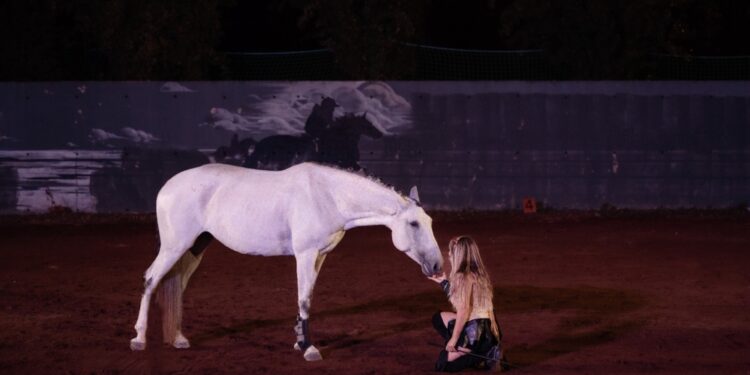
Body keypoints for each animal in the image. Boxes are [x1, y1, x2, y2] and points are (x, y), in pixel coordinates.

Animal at [131, 162, 446, 362]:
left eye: (430, 222)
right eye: (414, 224)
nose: (437, 267)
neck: (328, 196)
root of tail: (168, 186)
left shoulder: (320, 256)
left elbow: (307, 297)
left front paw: (298, 341)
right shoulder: (305, 254)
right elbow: (304, 299)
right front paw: (309, 349)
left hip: (194, 248)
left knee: (176, 286)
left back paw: (179, 338)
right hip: (174, 247)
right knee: (150, 279)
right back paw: (139, 339)